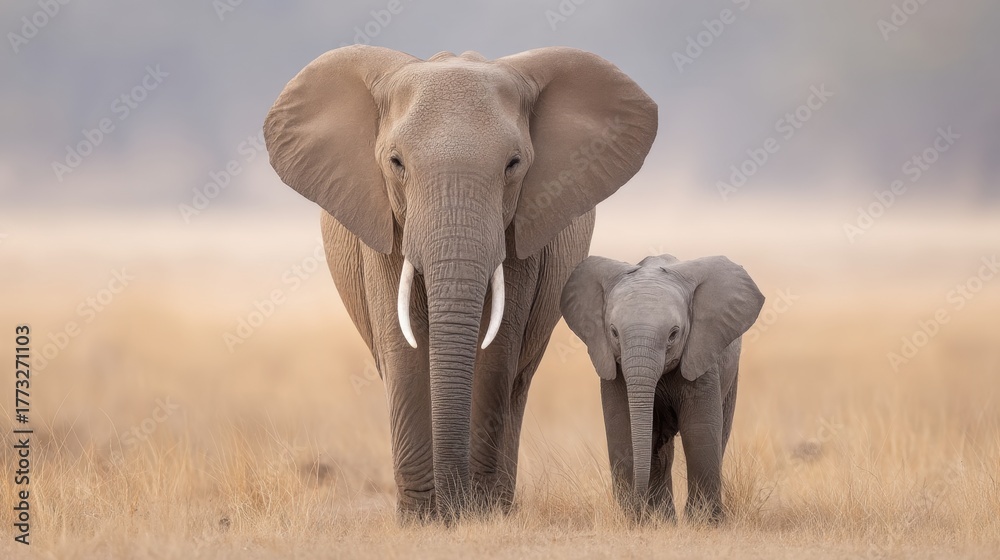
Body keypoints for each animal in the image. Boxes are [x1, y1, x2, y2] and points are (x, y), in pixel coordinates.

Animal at [264, 45, 658, 521]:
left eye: (513, 165)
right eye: (396, 163)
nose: (453, 507)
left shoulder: (524, 229)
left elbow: (495, 353)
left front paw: (477, 515)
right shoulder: (383, 228)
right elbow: (403, 352)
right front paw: (421, 520)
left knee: (518, 380)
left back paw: (499, 502)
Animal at [560, 254, 764, 521]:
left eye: (673, 334)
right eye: (613, 332)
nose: (637, 505)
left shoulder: (701, 357)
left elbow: (699, 429)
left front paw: (704, 523)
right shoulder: (614, 368)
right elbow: (623, 427)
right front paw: (638, 520)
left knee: (719, 433)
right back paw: (663, 519)